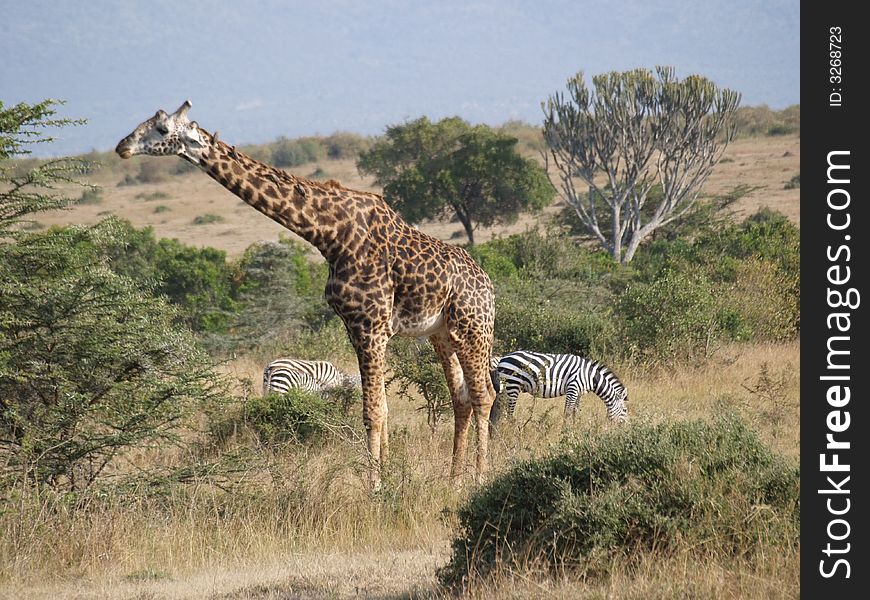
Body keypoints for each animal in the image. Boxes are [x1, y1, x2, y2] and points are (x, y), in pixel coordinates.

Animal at [116, 102, 498, 488]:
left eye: (162, 130)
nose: (122, 146)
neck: (329, 234)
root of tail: (488, 285)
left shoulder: (371, 327)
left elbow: (372, 412)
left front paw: (374, 487)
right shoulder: (358, 328)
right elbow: (384, 408)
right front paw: (389, 476)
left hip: (473, 329)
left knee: (484, 394)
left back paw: (480, 476)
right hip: (442, 335)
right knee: (461, 398)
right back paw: (453, 478)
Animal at [490, 350, 628, 424]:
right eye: (625, 410)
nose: (627, 428)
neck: (590, 376)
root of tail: (503, 358)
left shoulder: (579, 392)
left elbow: (575, 412)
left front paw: (575, 429)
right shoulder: (573, 388)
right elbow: (567, 413)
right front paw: (565, 433)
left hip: (505, 388)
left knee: (497, 409)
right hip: (512, 384)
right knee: (509, 413)